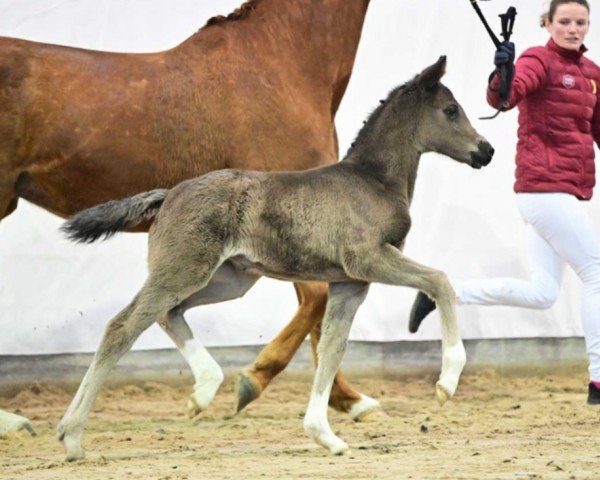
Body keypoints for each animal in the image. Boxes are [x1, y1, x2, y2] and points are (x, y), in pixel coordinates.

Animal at [58, 56, 494, 458]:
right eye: (450, 110)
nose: (486, 150)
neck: (372, 181)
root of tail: (169, 194)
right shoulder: (368, 260)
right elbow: (439, 280)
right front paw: (447, 382)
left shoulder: (349, 283)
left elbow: (332, 348)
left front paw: (325, 435)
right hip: (184, 269)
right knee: (122, 326)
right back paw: (73, 437)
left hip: (229, 279)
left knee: (169, 313)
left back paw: (203, 392)